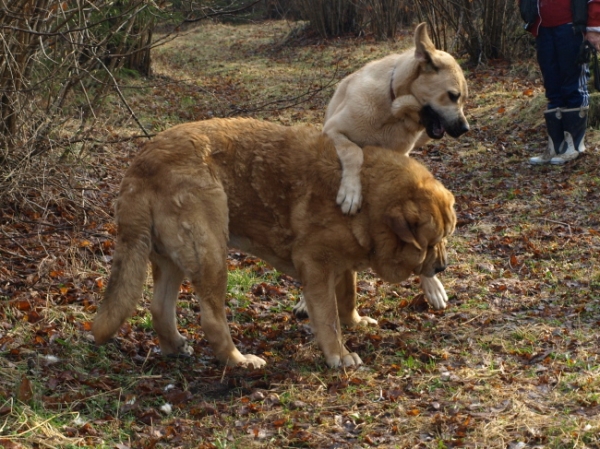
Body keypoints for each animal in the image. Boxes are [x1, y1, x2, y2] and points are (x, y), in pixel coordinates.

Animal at [92, 117, 454, 370]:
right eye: (430, 243)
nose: (442, 267)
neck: (368, 201)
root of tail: (139, 167)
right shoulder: (317, 265)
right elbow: (328, 318)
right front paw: (339, 354)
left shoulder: (341, 264)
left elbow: (348, 295)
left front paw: (355, 321)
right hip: (211, 253)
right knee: (211, 319)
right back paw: (238, 361)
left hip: (172, 259)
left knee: (159, 308)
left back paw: (175, 347)